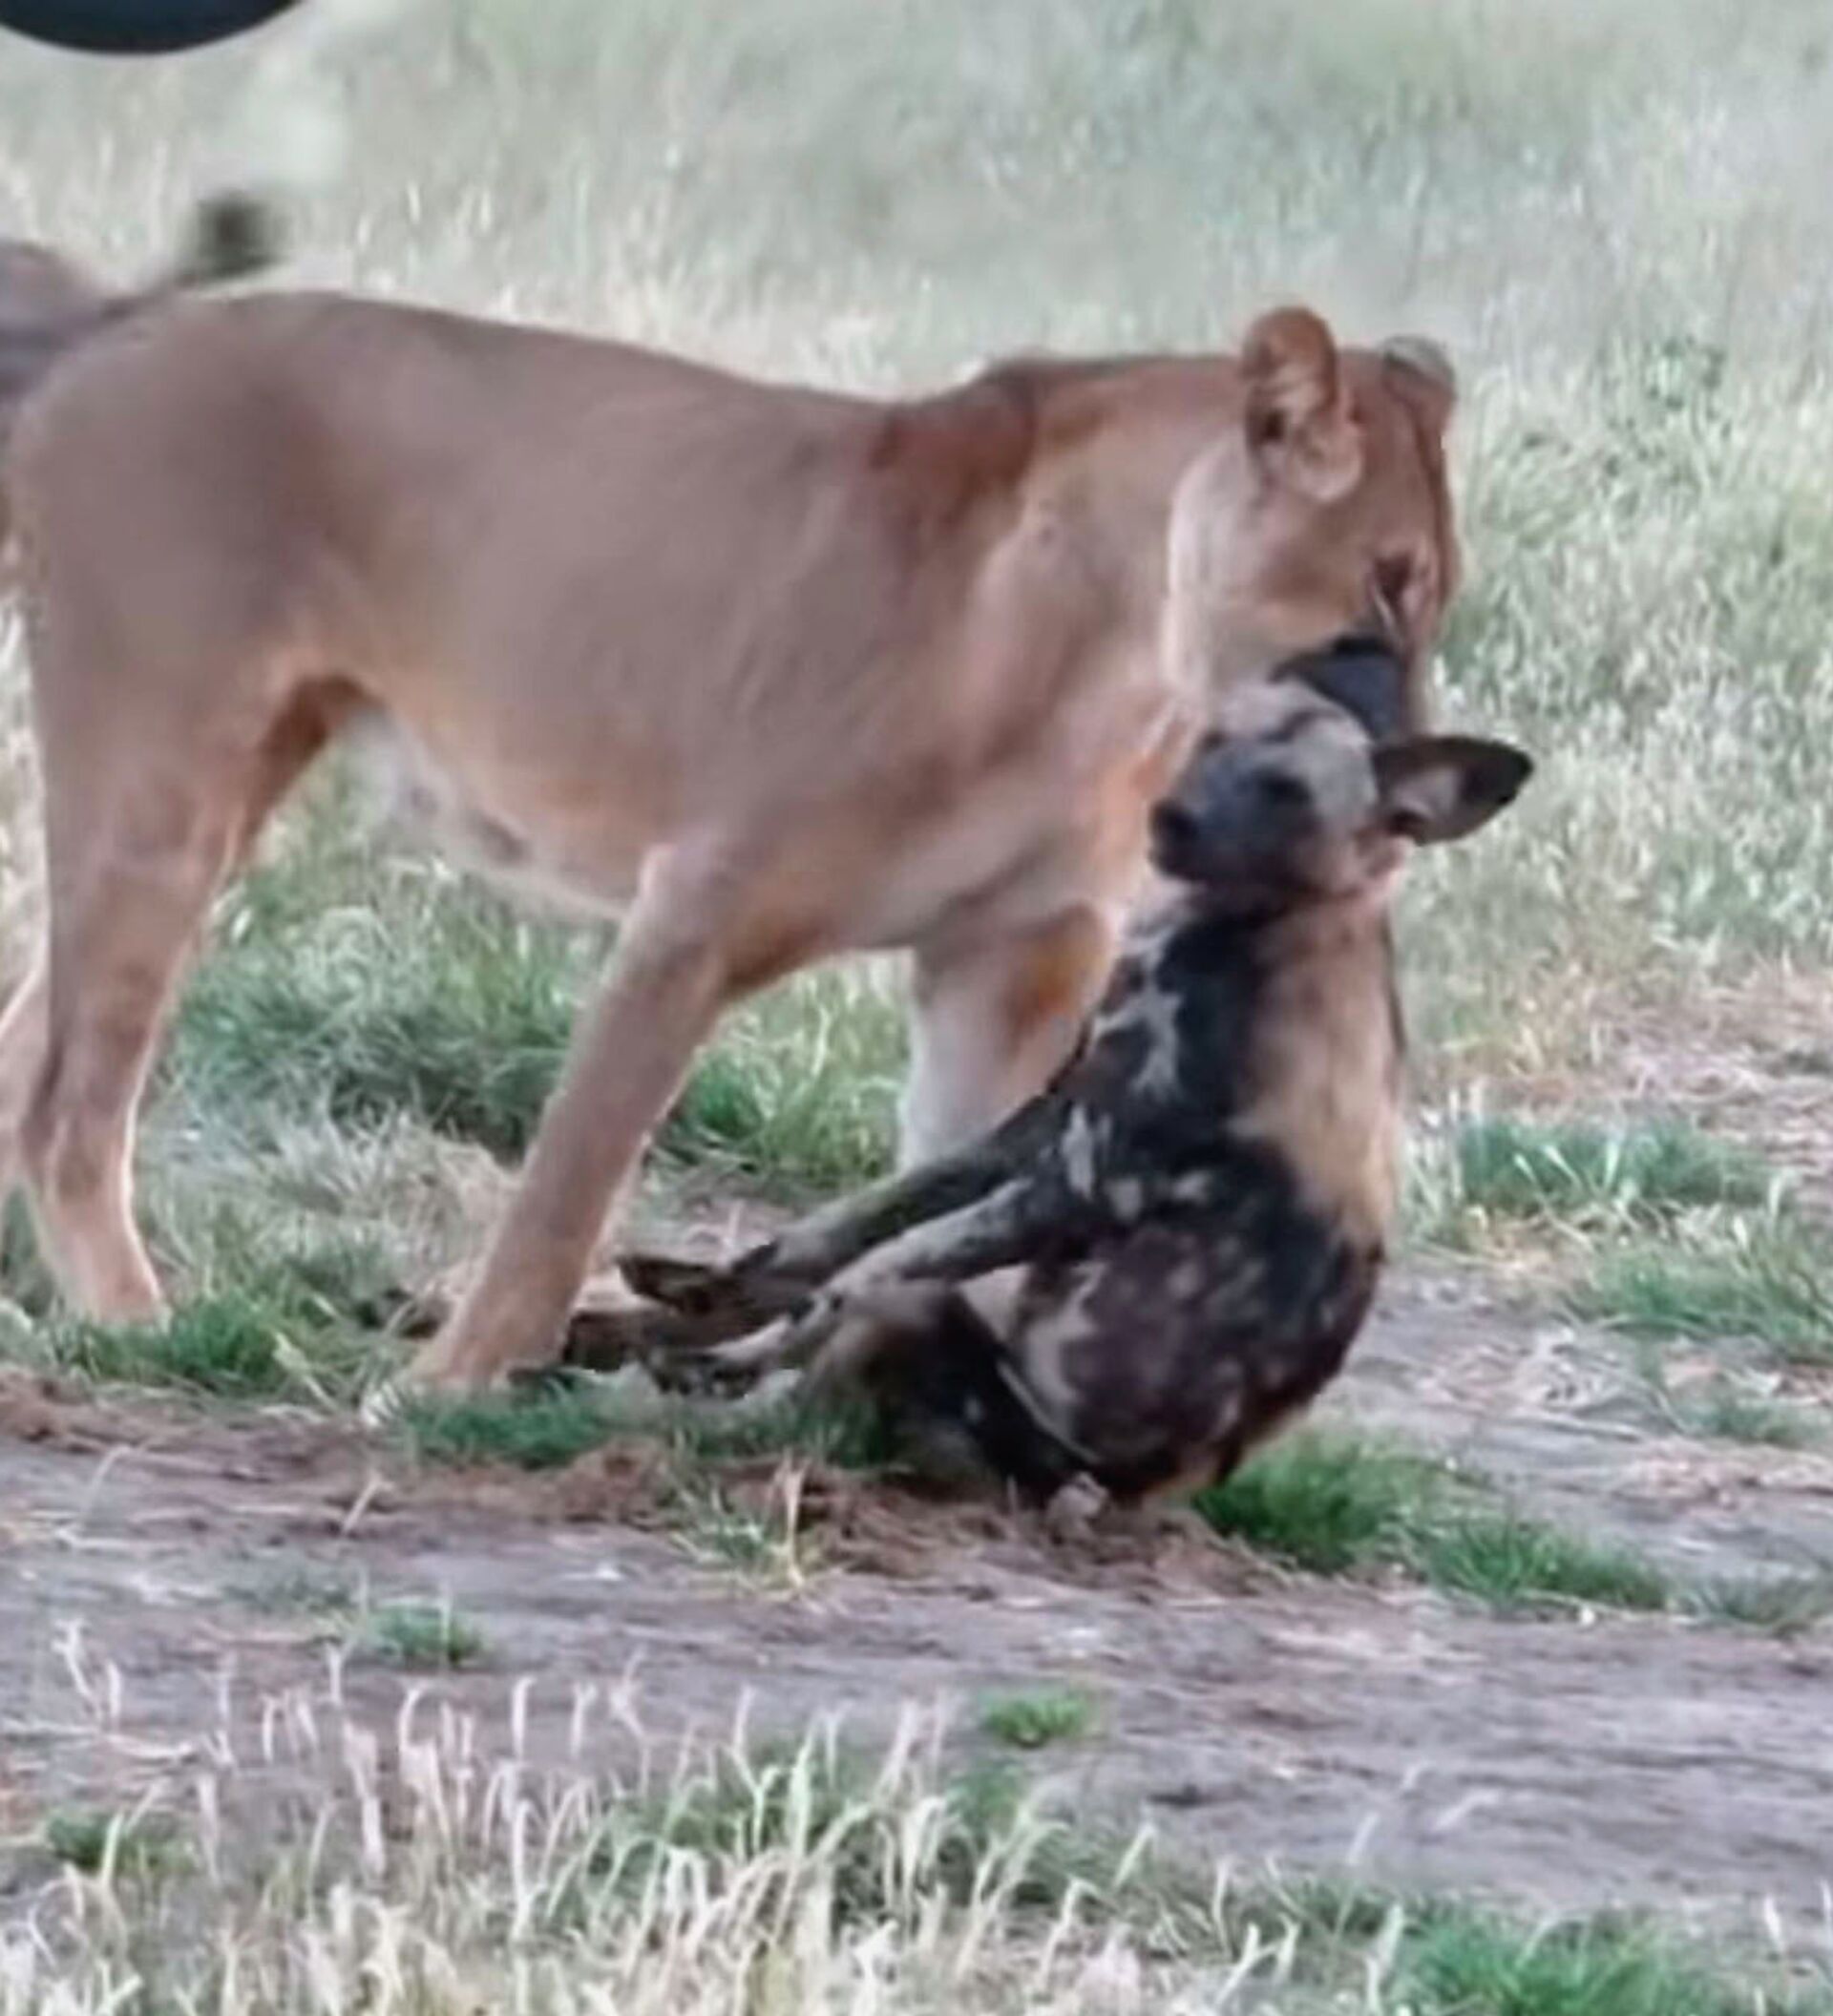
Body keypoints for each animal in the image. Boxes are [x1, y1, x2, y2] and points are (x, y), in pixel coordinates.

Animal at [588, 657, 1532, 1516]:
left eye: (1288, 793)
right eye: (1209, 742)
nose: (1172, 816)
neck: (1243, 927)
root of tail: (1122, 1497)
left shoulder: (1077, 1183)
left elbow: (863, 1270)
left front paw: (719, 1360)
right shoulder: (1040, 1128)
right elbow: (842, 1227)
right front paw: (710, 1289)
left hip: (945, 1345)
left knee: (856, 1330)